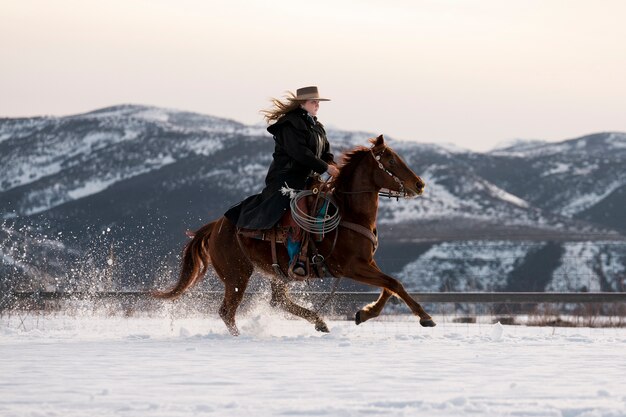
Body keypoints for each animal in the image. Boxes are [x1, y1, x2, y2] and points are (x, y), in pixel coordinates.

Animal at [155, 134, 434, 334]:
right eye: (391, 161)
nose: (420, 184)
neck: (350, 213)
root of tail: (215, 226)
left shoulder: (368, 263)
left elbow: (390, 286)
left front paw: (364, 314)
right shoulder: (352, 267)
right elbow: (393, 283)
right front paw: (425, 317)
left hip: (277, 272)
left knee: (278, 301)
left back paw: (320, 321)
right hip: (237, 275)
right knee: (227, 311)